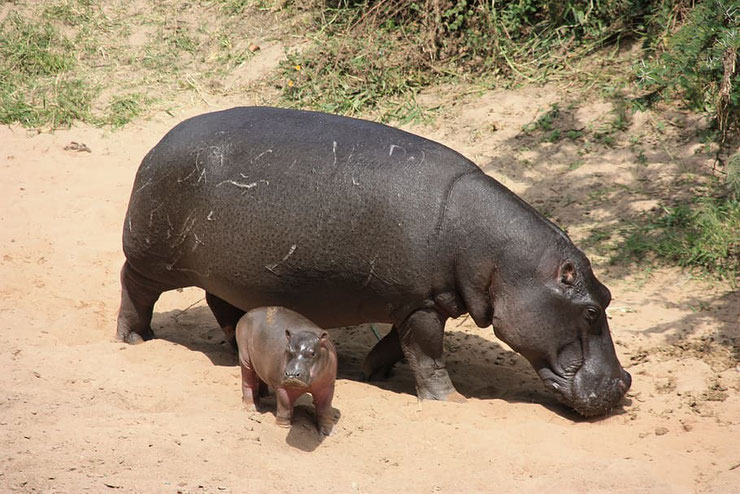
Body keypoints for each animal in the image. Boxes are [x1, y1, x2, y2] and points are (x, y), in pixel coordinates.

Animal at [115, 105, 632, 416]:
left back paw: (230, 345)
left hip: (227, 274)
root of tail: (157, 142)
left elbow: (399, 344)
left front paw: (371, 369)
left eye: (608, 295)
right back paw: (134, 339)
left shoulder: (421, 301)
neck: (501, 260)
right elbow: (428, 354)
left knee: (221, 304)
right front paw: (448, 401)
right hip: (150, 256)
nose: (624, 383)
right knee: (133, 288)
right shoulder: (421, 303)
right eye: (590, 310)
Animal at [237, 306, 338, 434]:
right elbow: (285, 407)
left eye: (312, 353)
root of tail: (246, 314)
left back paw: (265, 395)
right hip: (245, 358)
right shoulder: (282, 387)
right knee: (248, 382)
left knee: (259, 378)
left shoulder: (327, 386)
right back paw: (252, 408)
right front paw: (284, 427)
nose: (292, 374)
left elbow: (325, 408)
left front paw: (328, 432)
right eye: (288, 350)